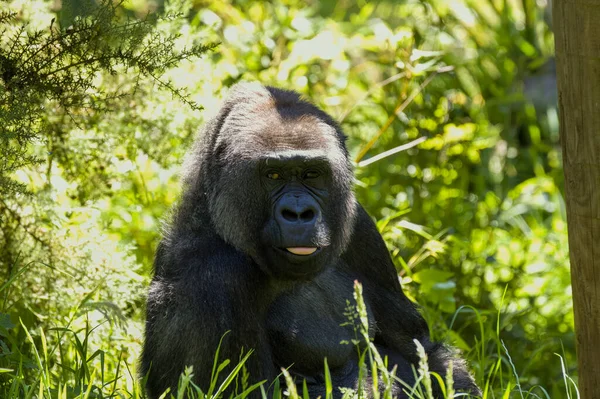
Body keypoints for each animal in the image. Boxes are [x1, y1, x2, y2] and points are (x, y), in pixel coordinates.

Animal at [142, 83, 482, 398]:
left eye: (312, 174)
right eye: (273, 175)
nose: (298, 213)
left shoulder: (360, 226)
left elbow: (421, 348)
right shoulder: (208, 274)